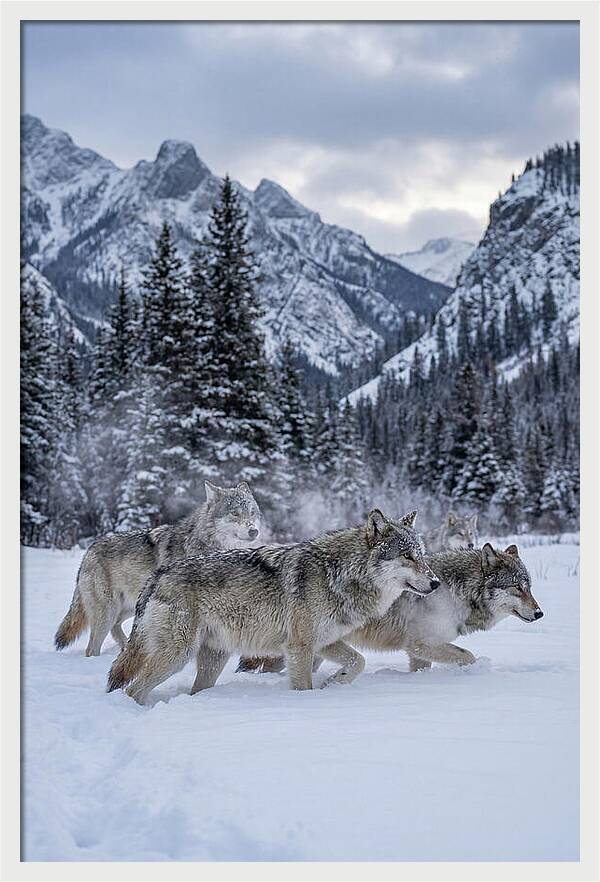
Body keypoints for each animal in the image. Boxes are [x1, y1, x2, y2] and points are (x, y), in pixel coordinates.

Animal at [54, 481, 261, 657]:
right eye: (235, 513)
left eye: (252, 512)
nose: (254, 531)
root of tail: (89, 550)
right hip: (108, 612)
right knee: (92, 648)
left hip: (131, 607)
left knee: (116, 628)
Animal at [107, 509, 441, 703]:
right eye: (407, 556)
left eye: (422, 554)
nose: (436, 582)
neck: (340, 573)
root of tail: (157, 576)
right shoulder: (300, 647)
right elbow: (304, 686)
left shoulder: (324, 642)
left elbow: (357, 661)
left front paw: (334, 682)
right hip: (176, 656)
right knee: (132, 689)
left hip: (213, 659)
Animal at [347, 543, 543, 671]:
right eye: (517, 587)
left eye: (529, 588)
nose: (539, 613)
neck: (457, 593)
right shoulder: (421, 644)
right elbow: (468, 655)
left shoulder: (418, 652)